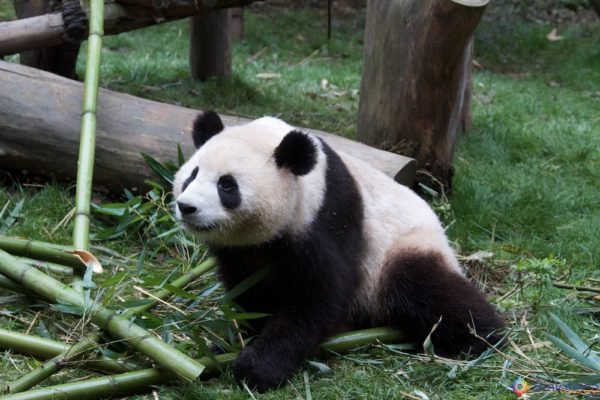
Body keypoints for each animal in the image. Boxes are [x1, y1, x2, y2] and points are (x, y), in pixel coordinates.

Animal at [172, 111, 502, 392]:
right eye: (192, 175)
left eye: (227, 185)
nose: (187, 207)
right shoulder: (240, 250)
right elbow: (248, 291)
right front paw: (228, 344)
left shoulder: (327, 217)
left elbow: (320, 296)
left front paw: (256, 368)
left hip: (401, 250)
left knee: (426, 291)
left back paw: (481, 336)